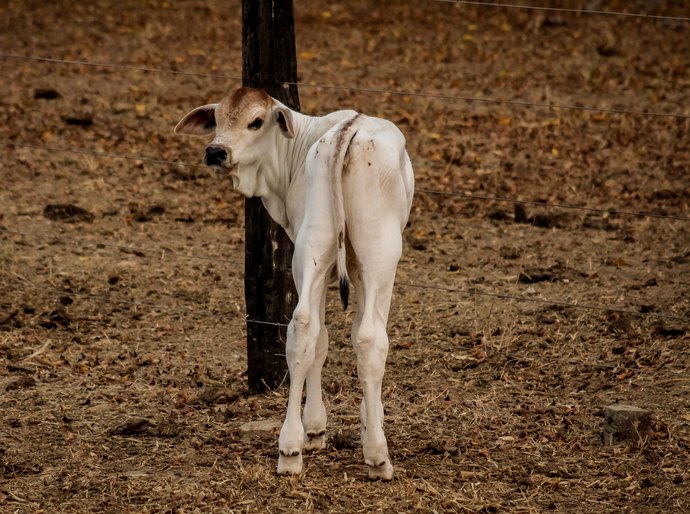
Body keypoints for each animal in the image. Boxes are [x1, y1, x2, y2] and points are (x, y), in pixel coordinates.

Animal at [175, 87, 412, 476]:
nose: (215, 151)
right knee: (357, 337)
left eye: (255, 121)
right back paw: (365, 454)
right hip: (370, 254)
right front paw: (345, 425)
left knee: (312, 329)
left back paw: (300, 449)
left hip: (322, 251)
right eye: (219, 118)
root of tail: (348, 132)